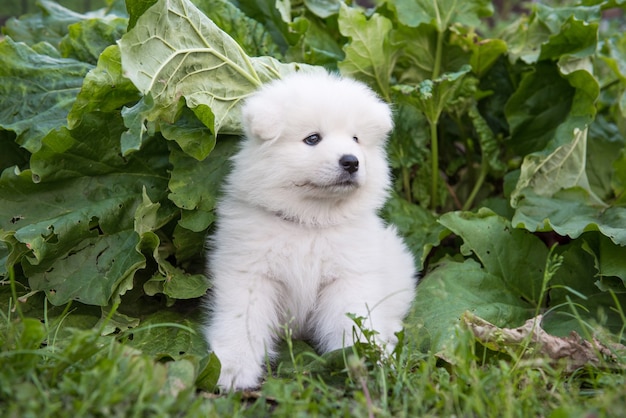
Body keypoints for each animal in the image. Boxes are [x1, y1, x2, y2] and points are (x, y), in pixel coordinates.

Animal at [205, 71, 416, 388]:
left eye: (356, 139)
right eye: (312, 139)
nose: (351, 161)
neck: (311, 222)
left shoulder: (347, 278)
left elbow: (352, 321)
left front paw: (367, 359)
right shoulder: (251, 274)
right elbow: (242, 321)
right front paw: (232, 368)